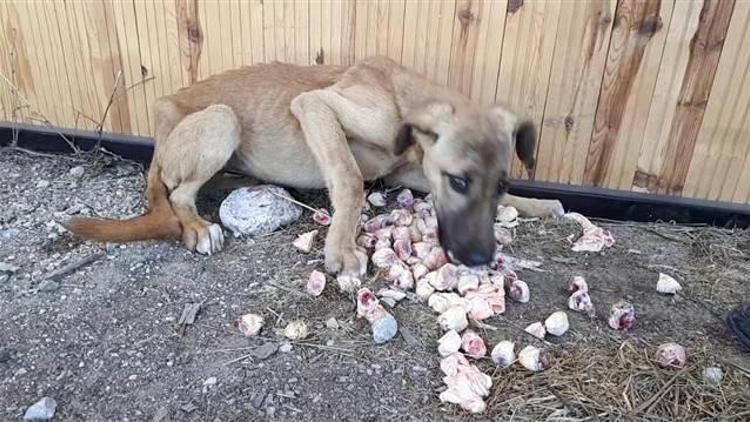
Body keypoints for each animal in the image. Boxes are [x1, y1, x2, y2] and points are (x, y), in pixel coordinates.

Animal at [67, 56, 564, 278]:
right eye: (458, 181)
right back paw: (196, 226)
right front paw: (342, 247)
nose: (481, 260)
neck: (400, 94)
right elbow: (349, 180)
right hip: (223, 119)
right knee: (178, 196)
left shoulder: (411, 170)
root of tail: (166, 110)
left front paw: (538, 204)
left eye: (500, 183)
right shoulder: (317, 107)